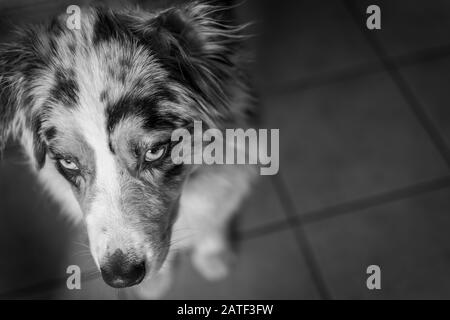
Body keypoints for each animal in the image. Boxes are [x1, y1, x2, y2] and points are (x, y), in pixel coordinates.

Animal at [0, 1, 256, 298]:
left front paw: (212, 254)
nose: (121, 278)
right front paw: (155, 285)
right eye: (68, 162)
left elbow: (215, 208)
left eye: (155, 151)